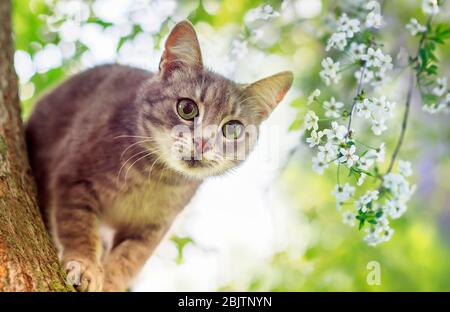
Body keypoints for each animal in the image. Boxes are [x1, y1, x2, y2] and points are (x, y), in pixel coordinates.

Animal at [25, 20, 292, 292]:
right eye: (187, 108)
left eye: (233, 129)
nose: (203, 142)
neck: (152, 178)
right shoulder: (74, 179)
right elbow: (78, 228)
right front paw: (84, 264)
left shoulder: (153, 228)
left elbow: (128, 259)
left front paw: (111, 281)